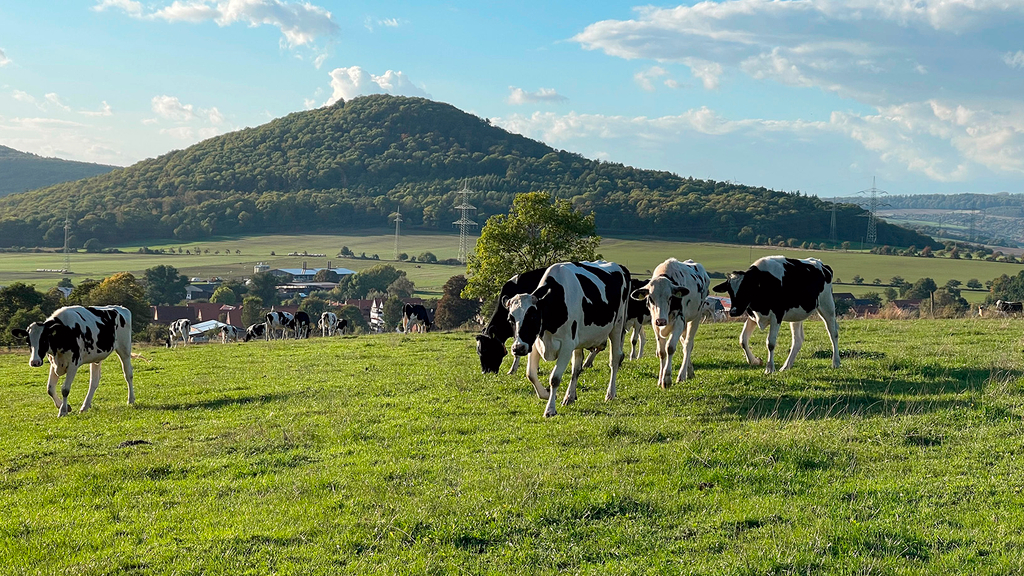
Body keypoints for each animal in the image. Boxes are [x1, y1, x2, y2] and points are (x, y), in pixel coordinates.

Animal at [505, 261, 629, 418]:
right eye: (510, 319)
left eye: (532, 316)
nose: (517, 348)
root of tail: (620, 266)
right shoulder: (535, 343)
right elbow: (530, 374)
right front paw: (546, 394)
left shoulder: (566, 346)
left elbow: (555, 378)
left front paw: (550, 409)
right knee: (577, 367)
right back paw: (570, 396)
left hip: (617, 326)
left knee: (615, 359)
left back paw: (610, 394)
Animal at [630, 258, 710, 388]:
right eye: (651, 298)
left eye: (670, 297)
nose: (661, 320)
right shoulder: (655, 325)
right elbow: (662, 352)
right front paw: (660, 379)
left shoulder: (679, 322)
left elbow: (670, 348)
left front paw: (667, 379)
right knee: (684, 343)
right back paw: (689, 371)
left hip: (695, 318)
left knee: (688, 345)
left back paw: (682, 375)